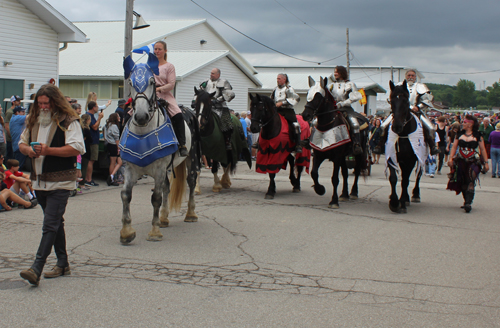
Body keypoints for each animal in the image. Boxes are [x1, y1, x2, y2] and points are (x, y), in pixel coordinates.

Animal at [119, 53, 201, 243]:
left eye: (152, 82)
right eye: (131, 82)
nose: (141, 116)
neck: (143, 132)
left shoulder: (159, 169)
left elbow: (155, 197)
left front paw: (154, 232)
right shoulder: (131, 169)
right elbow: (126, 194)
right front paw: (126, 232)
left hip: (191, 158)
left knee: (191, 181)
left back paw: (190, 214)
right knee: (167, 187)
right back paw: (164, 218)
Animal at [300, 77, 368, 208]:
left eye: (318, 96)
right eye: (307, 93)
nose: (305, 115)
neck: (327, 125)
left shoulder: (336, 157)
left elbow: (335, 179)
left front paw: (334, 201)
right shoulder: (318, 155)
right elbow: (314, 173)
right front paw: (320, 189)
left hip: (359, 154)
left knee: (357, 171)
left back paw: (353, 193)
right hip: (344, 157)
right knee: (345, 174)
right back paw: (344, 195)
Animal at [386, 80, 422, 213]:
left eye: (406, 101)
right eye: (391, 101)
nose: (396, 126)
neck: (402, 134)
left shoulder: (410, 160)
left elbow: (405, 181)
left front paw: (401, 203)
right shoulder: (391, 156)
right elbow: (393, 178)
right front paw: (394, 202)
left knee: (418, 174)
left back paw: (414, 195)